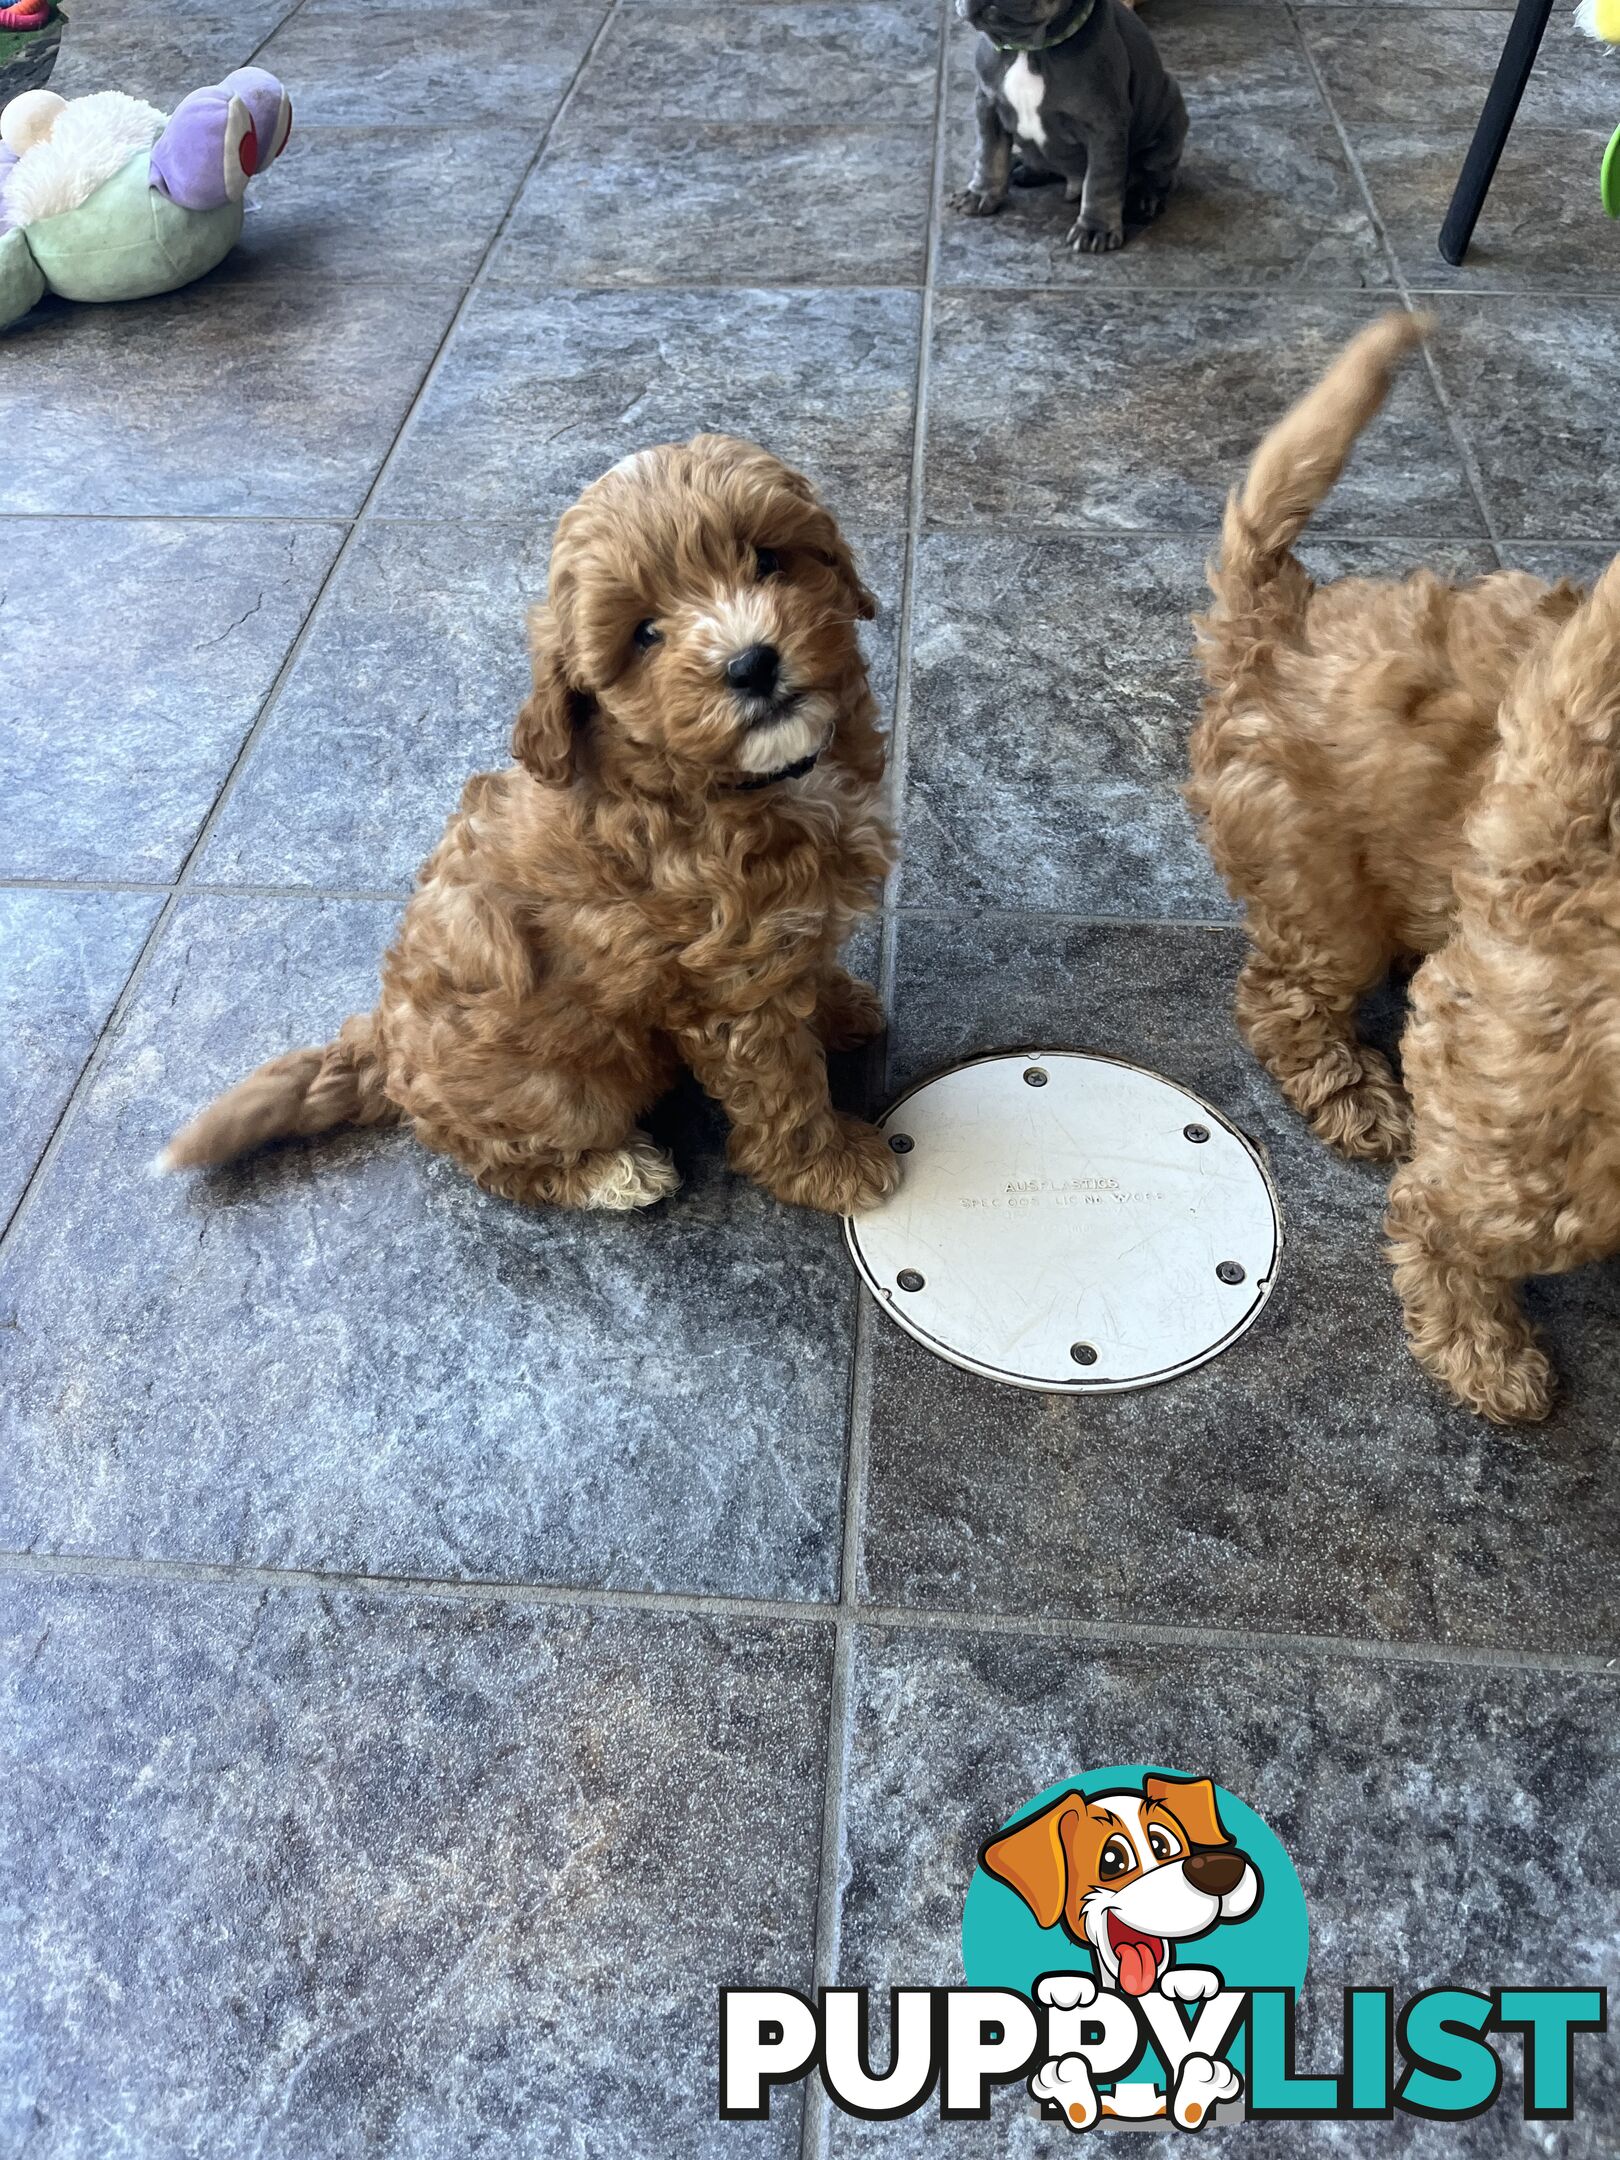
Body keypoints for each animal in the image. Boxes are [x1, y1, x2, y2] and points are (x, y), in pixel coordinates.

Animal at [162, 438, 902, 1218]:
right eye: (645, 634)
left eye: (767, 559)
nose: (751, 663)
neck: (742, 781)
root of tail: (383, 1045)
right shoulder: (732, 984)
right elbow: (783, 1086)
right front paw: (833, 1166)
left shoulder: (789, 930)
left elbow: (810, 972)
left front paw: (839, 1008)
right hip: (559, 1092)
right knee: (501, 1159)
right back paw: (617, 1173)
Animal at [950, 0, 1192, 254]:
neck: (1027, 49)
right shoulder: (987, 106)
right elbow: (989, 154)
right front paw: (980, 193)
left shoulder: (1104, 126)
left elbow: (1100, 179)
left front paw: (1096, 228)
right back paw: (1023, 167)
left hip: (1171, 113)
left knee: (1157, 173)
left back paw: (1145, 200)